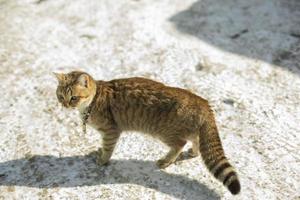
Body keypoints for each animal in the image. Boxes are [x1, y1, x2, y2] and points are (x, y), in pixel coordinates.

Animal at [54, 70, 241, 195]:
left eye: (74, 98)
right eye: (60, 96)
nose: (65, 105)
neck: (91, 103)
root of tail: (203, 102)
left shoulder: (111, 131)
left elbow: (107, 149)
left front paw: (102, 159)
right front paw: (98, 152)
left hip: (165, 133)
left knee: (179, 144)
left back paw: (165, 161)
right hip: (189, 131)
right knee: (195, 140)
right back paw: (193, 152)